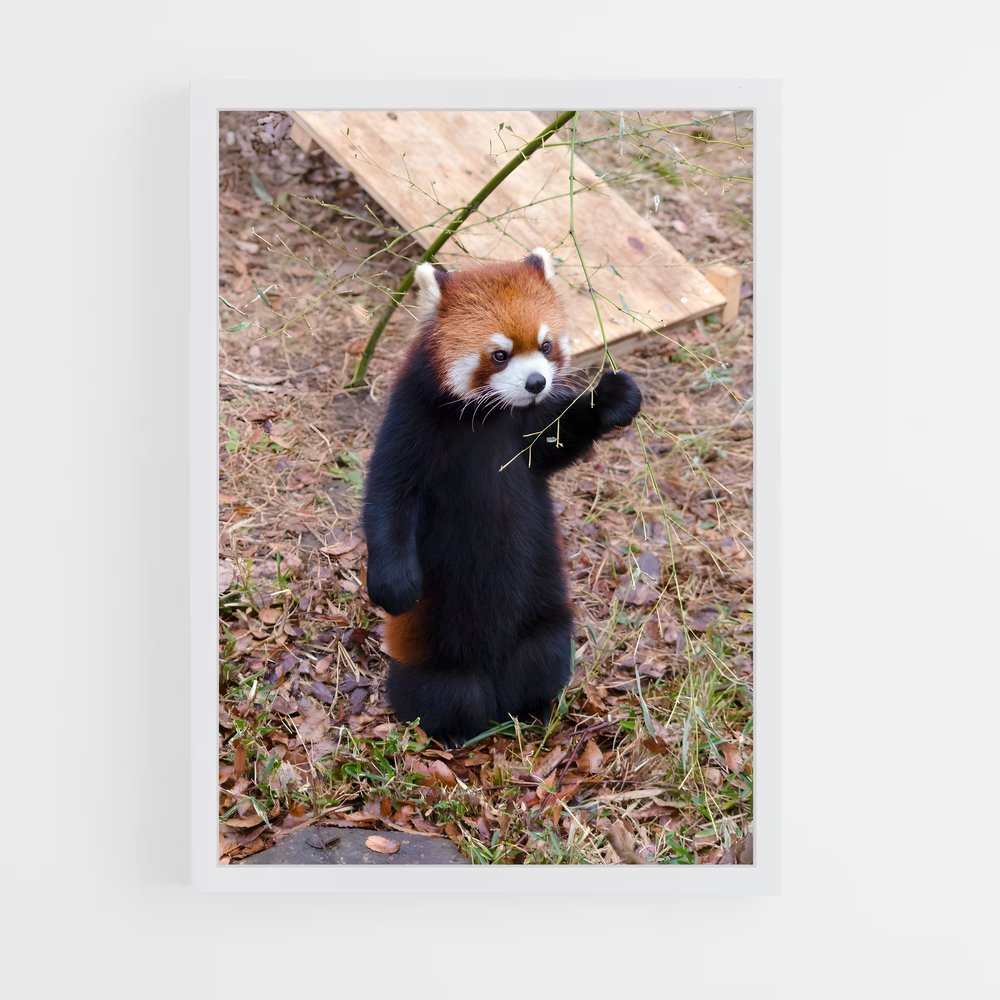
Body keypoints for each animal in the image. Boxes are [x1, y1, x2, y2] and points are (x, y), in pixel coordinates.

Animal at [362, 248, 642, 745]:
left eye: (546, 346)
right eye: (499, 354)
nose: (535, 383)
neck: (491, 416)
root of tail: (493, 680)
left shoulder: (530, 432)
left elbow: (560, 441)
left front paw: (610, 397)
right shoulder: (412, 420)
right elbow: (388, 495)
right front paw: (394, 585)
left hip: (545, 625)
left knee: (542, 658)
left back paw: (536, 708)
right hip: (436, 657)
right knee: (444, 693)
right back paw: (451, 733)